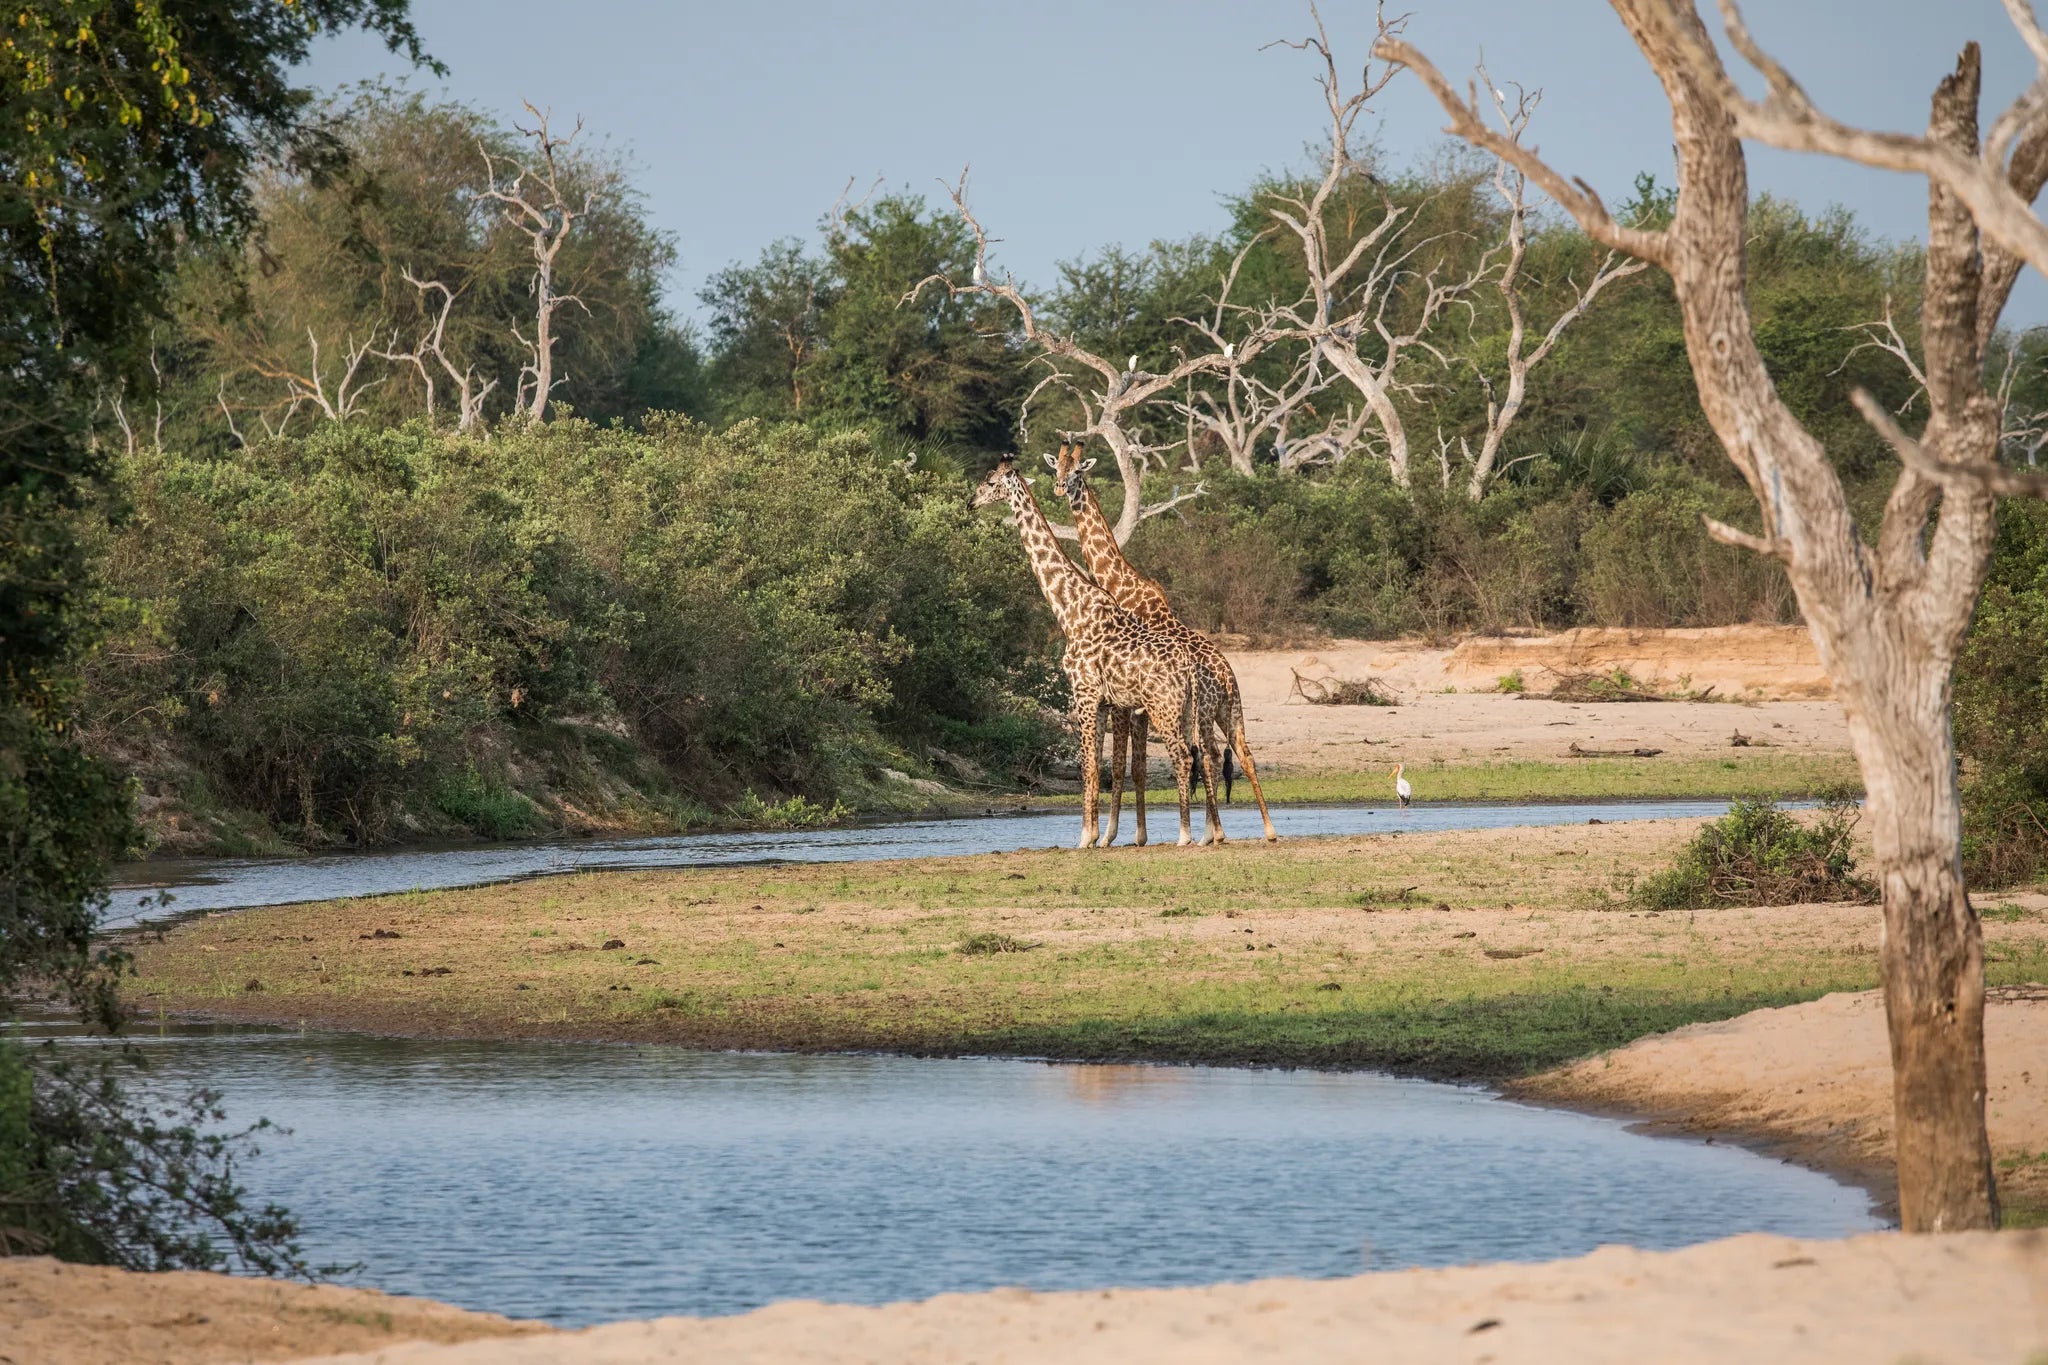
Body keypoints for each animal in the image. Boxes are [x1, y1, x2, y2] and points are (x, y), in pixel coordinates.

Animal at [969, 459, 1217, 847]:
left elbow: (1087, 765)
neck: (1069, 610)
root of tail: (1191, 665)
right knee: (1202, 756)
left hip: (1164, 708)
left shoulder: (1083, 693)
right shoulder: (1101, 701)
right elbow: (1097, 766)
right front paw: (1096, 834)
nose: (970, 503)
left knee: (1183, 757)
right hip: (1189, 709)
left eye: (990, 482)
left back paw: (1184, 835)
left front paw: (1084, 837)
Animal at [1050, 441, 1278, 842]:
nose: (1061, 488)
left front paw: (1111, 836)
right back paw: (1260, 830)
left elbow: (1126, 764)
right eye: (1056, 467)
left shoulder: (1127, 702)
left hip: (1203, 712)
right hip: (1228, 712)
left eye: (1077, 471)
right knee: (1238, 754)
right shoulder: (1137, 704)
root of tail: (1228, 676)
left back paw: (1210, 834)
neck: (1120, 584)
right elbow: (1137, 765)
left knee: (1208, 756)